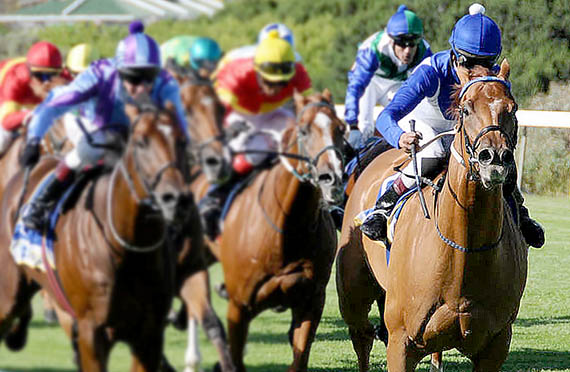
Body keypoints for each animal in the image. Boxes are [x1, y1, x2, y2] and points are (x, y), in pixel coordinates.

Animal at [0, 100, 186, 370]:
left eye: (182, 140)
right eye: (141, 142)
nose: (176, 199)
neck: (128, 246)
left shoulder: (149, 334)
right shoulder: (93, 331)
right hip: (8, 295)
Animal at [336, 59, 524, 370]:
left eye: (512, 108)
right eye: (466, 108)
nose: (494, 157)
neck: (464, 250)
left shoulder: (495, 345)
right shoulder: (401, 342)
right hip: (353, 290)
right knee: (362, 336)